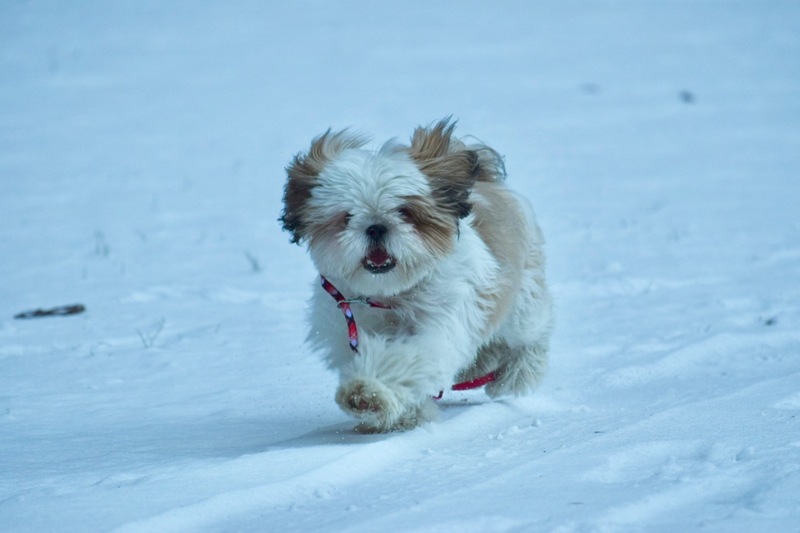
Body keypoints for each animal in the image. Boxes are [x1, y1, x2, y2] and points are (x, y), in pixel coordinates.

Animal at [280, 118, 553, 432]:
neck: (390, 296)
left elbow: (407, 358)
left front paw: (369, 392)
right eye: (346, 217)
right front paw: (405, 415)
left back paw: (516, 374)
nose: (376, 226)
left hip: (523, 300)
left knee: (530, 337)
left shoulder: (440, 326)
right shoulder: (344, 327)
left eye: (404, 211)